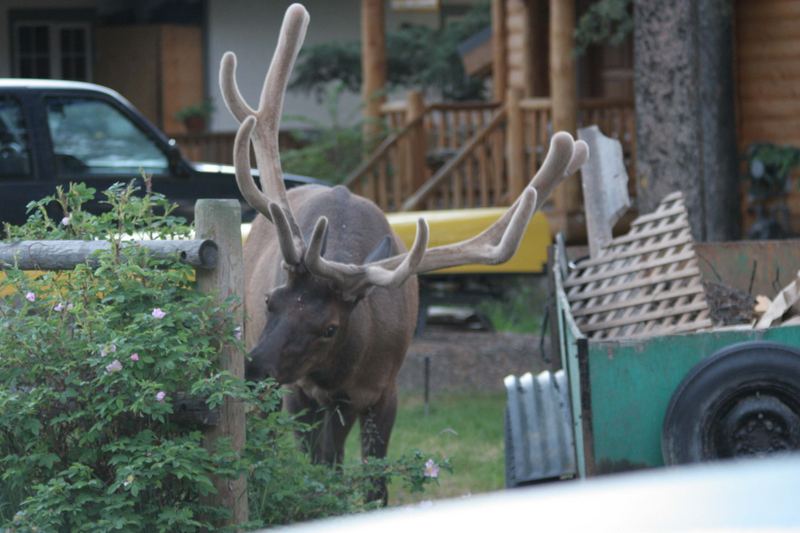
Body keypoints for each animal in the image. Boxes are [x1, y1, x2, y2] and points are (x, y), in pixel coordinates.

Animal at [219, 3, 588, 502]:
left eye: (330, 327)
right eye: (270, 300)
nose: (254, 366)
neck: (344, 368)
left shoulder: (383, 390)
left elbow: (373, 484)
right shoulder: (300, 391)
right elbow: (319, 472)